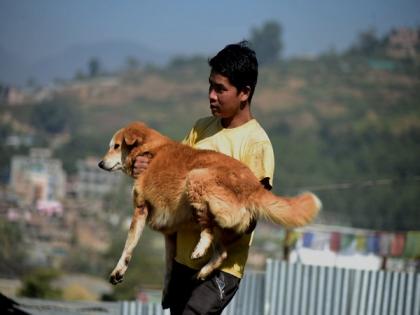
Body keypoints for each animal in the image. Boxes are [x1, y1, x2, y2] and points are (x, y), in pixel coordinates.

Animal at [98, 123, 322, 286]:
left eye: (115, 146)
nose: (99, 164)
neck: (150, 150)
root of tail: (253, 187)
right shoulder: (170, 234)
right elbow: (169, 266)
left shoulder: (141, 210)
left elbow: (128, 246)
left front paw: (118, 271)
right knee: (222, 252)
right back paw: (203, 272)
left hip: (196, 179)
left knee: (208, 231)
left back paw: (200, 249)